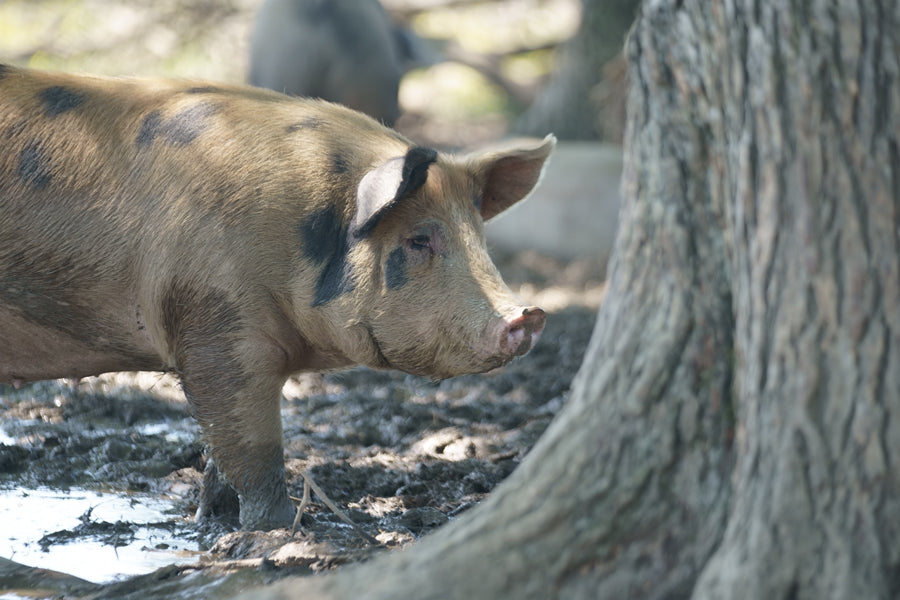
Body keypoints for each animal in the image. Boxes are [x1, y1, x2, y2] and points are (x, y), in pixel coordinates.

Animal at [0, 63, 556, 528]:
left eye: (478, 234)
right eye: (419, 239)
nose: (528, 314)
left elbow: (218, 451)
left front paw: (212, 522)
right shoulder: (213, 329)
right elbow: (253, 444)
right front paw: (279, 526)